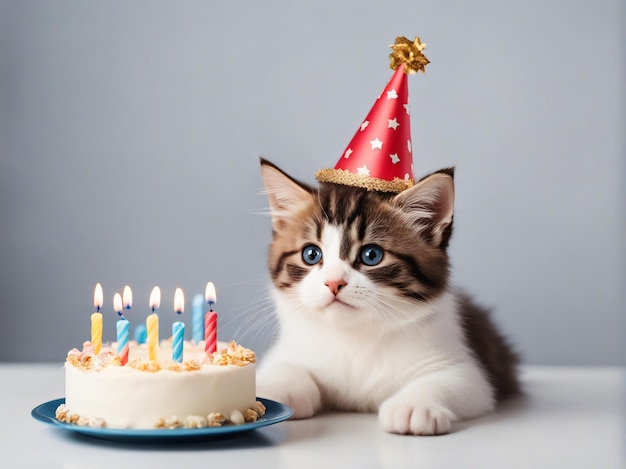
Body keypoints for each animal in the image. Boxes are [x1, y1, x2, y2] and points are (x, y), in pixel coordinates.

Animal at [254, 158, 516, 436]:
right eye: (311, 254)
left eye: (372, 255)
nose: (334, 282)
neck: (355, 336)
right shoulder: (289, 348)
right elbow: (282, 367)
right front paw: (278, 387)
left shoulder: (467, 367)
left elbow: (453, 380)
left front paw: (415, 405)